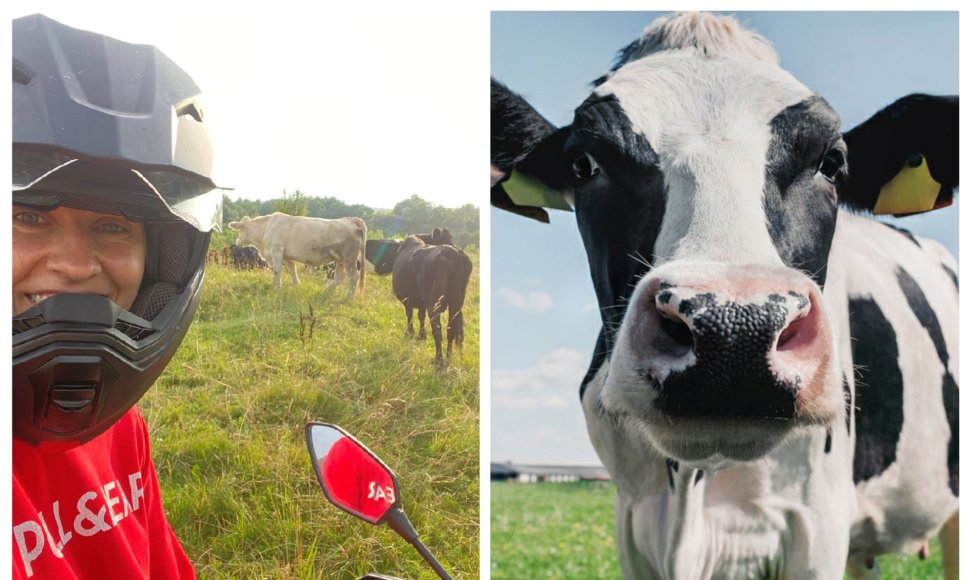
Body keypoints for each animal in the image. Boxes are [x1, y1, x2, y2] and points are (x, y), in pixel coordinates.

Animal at [227, 212, 366, 300]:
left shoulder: (277, 251)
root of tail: (351, 219)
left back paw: (349, 298)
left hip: (348, 259)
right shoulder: (287, 256)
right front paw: (296, 285)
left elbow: (277, 270)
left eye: (239, 230)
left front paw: (276, 287)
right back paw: (325, 292)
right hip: (339, 260)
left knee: (354, 276)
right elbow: (292, 270)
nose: (236, 242)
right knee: (339, 277)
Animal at [364, 234, 470, 362]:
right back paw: (449, 358)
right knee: (451, 329)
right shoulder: (421, 302)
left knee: (437, 330)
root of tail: (453, 253)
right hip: (456, 304)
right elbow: (421, 316)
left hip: (434, 303)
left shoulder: (407, 299)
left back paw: (438, 361)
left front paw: (410, 334)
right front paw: (422, 336)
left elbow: (410, 316)